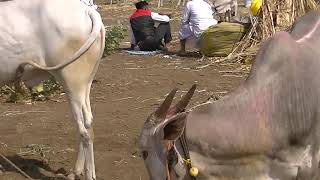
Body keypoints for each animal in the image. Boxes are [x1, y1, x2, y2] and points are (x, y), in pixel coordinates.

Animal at [0, 0, 105, 180]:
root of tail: (87, 10)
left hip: (72, 82)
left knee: (85, 132)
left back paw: (88, 174)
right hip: (86, 83)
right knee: (88, 122)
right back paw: (75, 171)